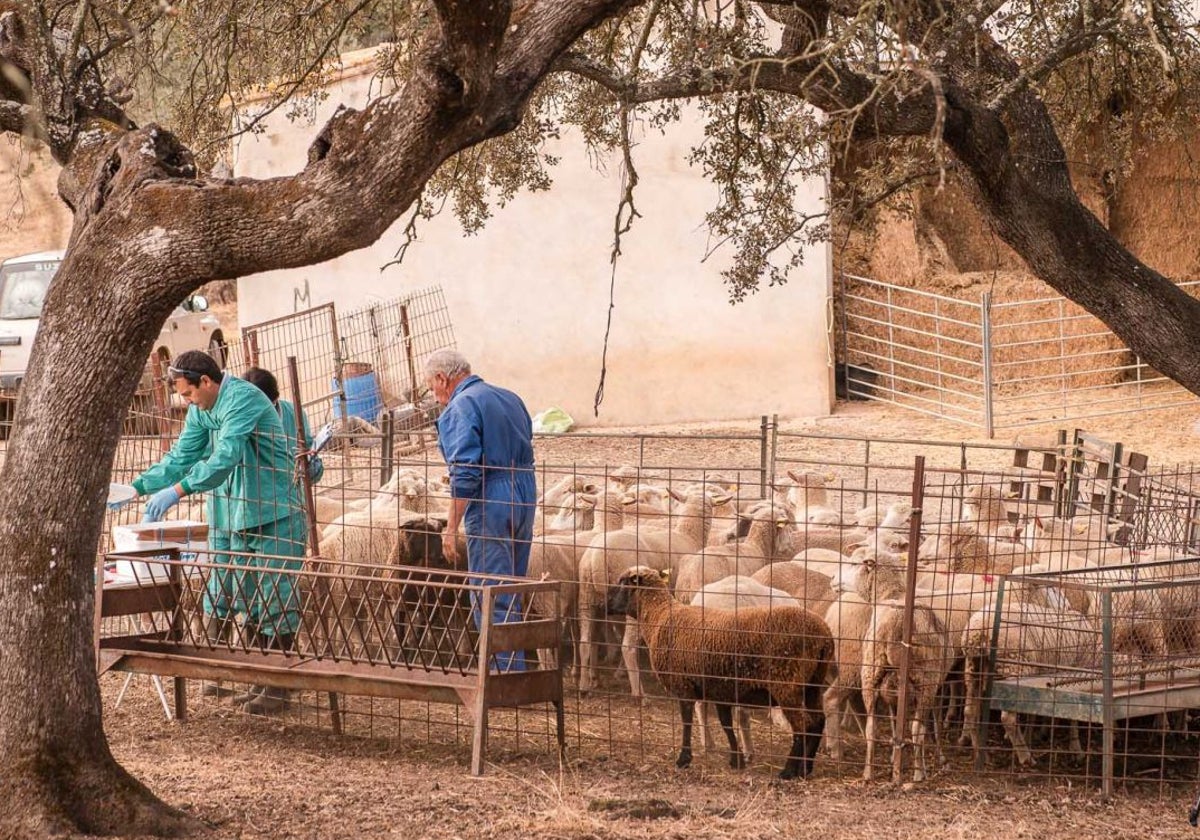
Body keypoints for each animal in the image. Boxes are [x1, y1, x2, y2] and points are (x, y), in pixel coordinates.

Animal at [609, 564, 835, 782]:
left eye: (622, 583)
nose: (605, 604)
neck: (660, 616)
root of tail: (824, 636)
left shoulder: (683, 684)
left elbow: (687, 721)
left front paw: (684, 759)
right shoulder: (719, 688)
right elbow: (726, 724)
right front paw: (736, 759)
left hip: (787, 684)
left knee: (803, 725)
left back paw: (788, 771)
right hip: (812, 684)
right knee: (817, 721)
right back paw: (806, 769)